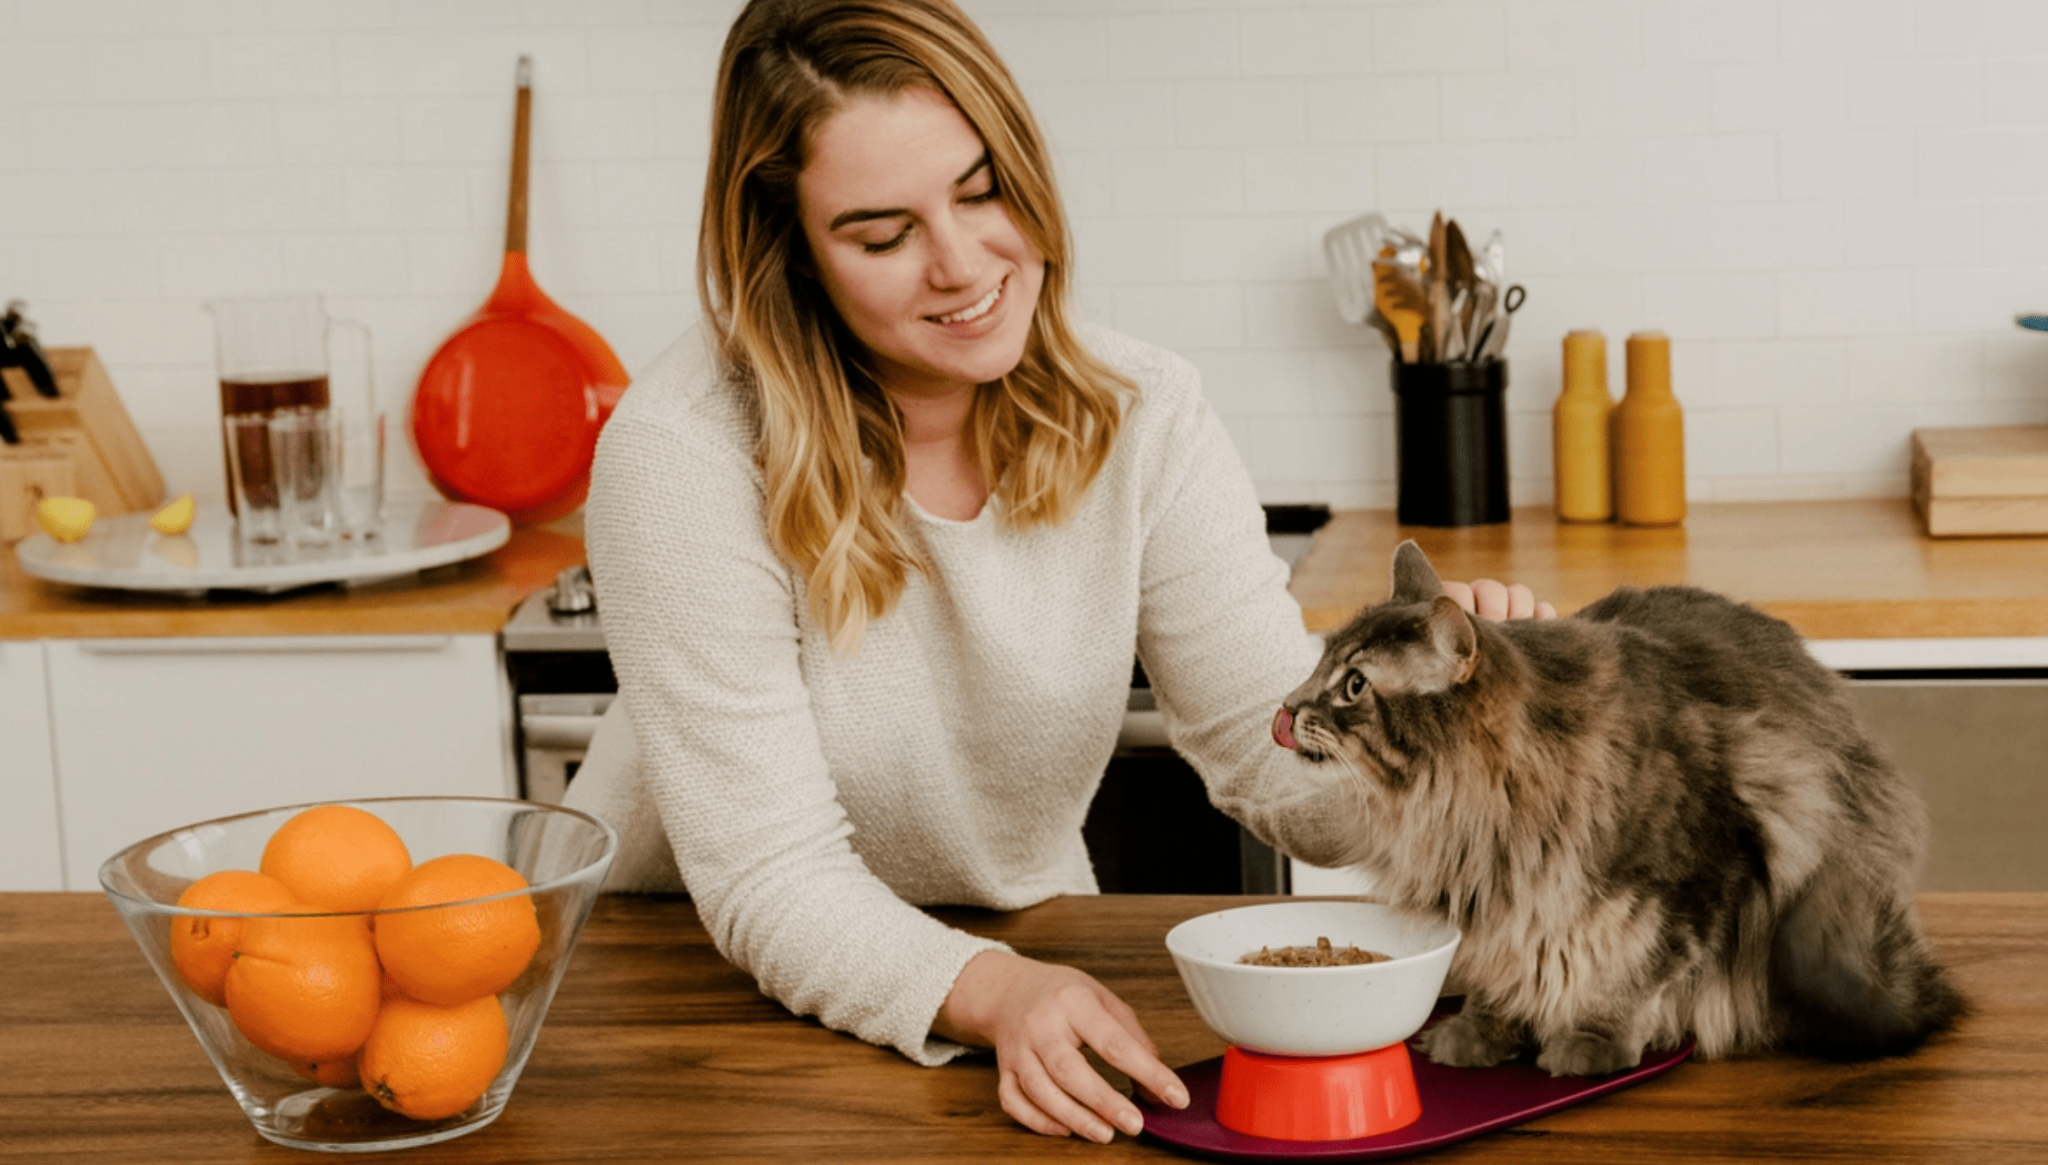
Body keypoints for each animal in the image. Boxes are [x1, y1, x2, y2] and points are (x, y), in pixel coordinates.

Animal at [1277, 540, 1966, 1072]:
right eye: (1318, 664)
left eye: (1354, 686)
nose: (1285, 708)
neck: (1473, 812)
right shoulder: (1497, 903)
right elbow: (1503, 970)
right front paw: (1484, 1030)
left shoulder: (1699, 871)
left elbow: (1635, 975)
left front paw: (1594, 1040)